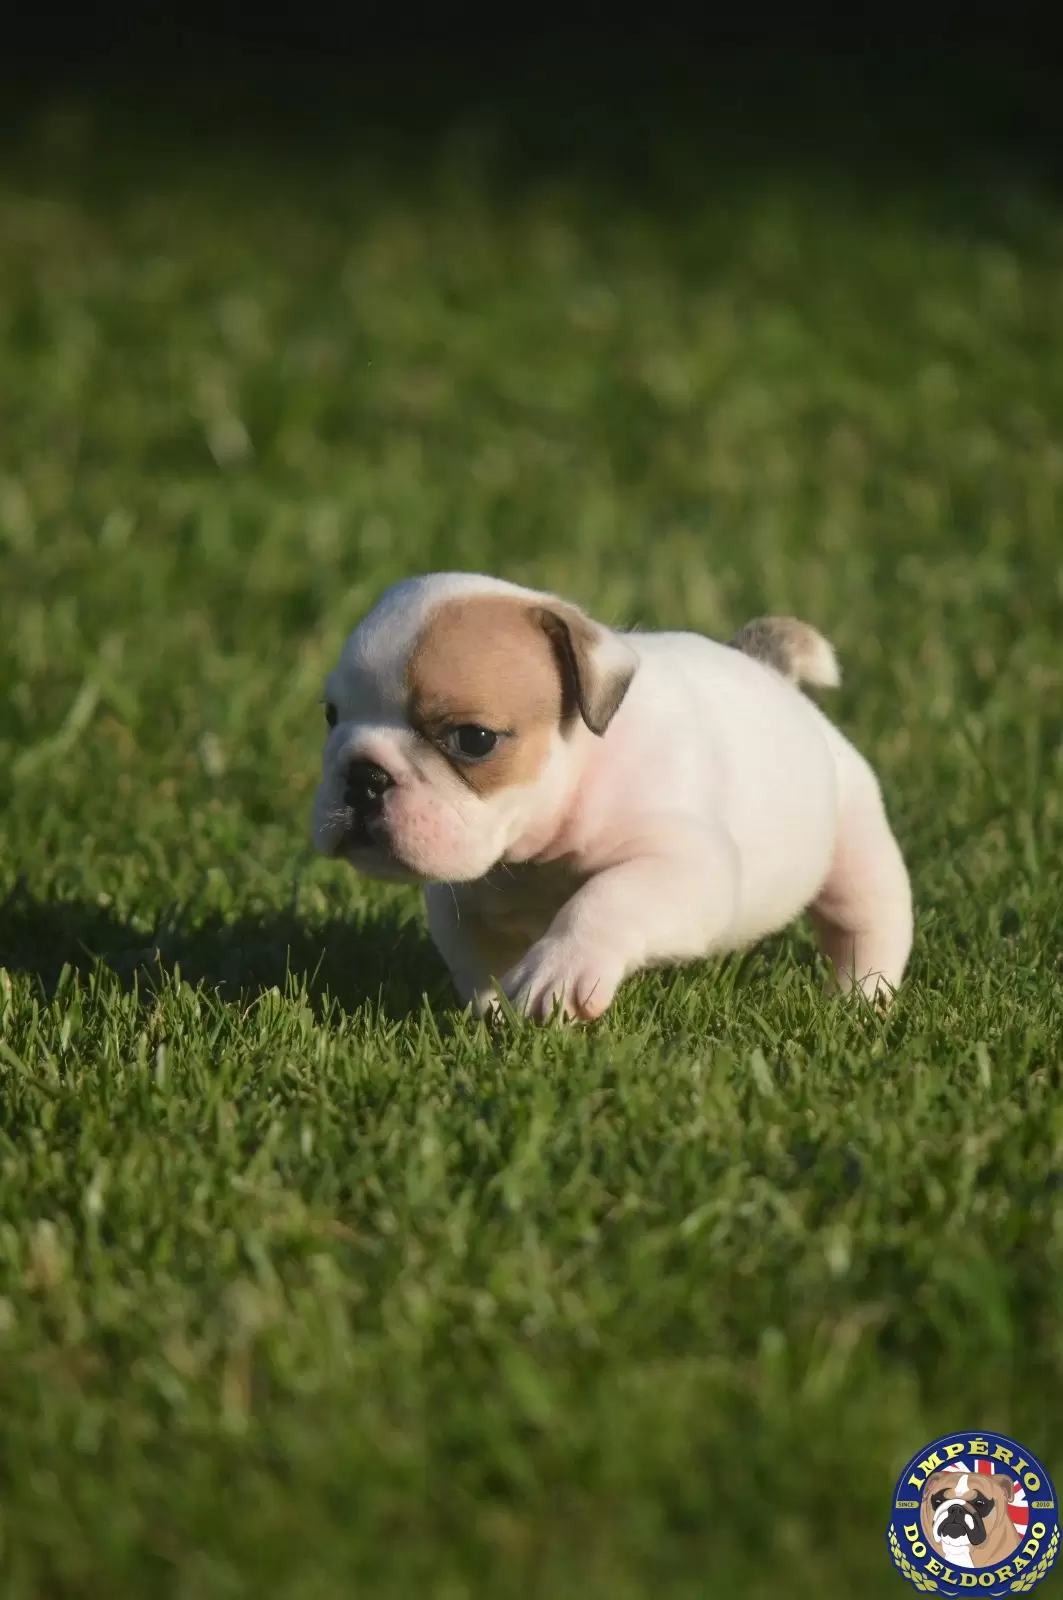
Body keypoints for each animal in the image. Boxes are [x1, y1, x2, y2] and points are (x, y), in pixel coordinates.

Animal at [308, 579, 915, 1024]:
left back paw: (861, 1000)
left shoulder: (683, 865)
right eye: (331, 715)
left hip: (857, 839)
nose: (363, 776)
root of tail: (772, 673)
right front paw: (491, 1014)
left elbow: (606, 896)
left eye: (473, 739)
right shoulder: (459, 901)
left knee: (868, 921)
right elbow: (474, 960)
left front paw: (558, 972)